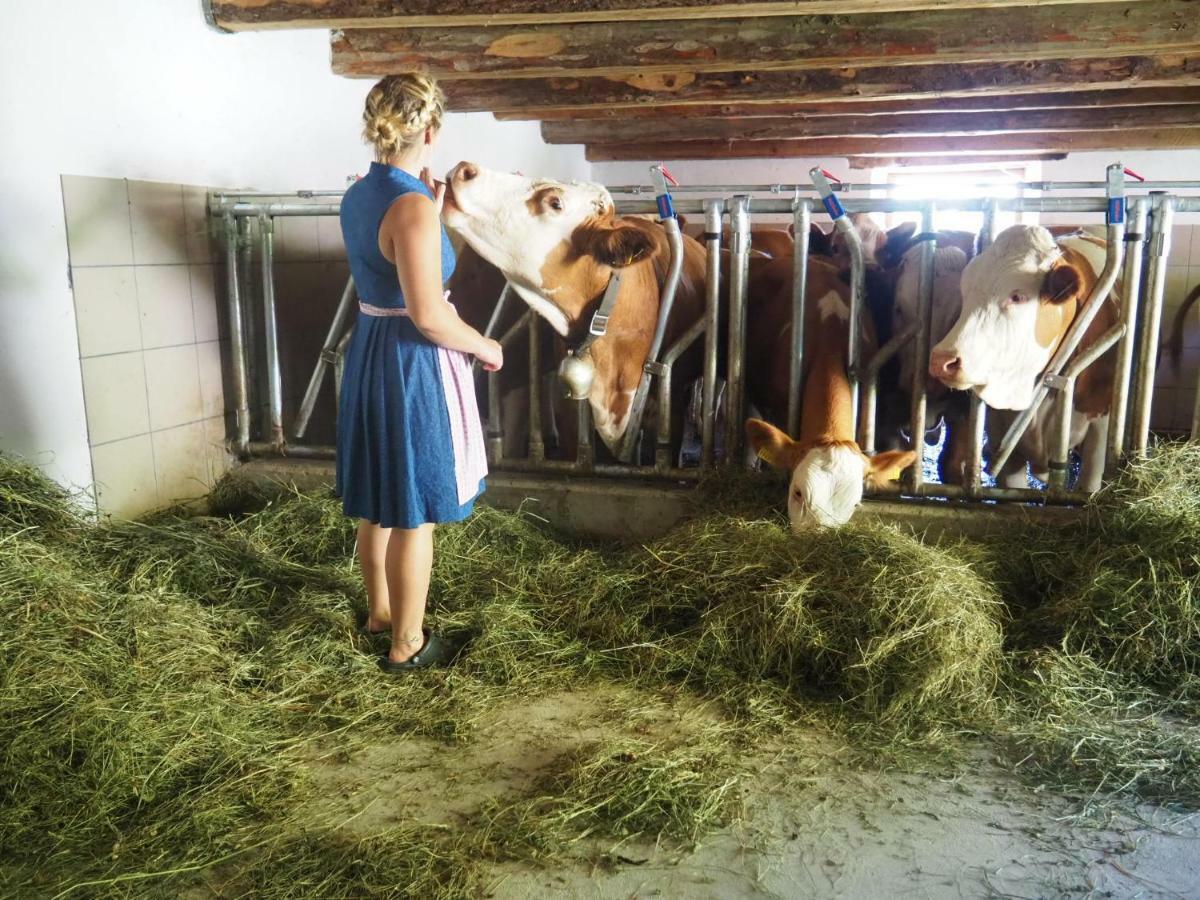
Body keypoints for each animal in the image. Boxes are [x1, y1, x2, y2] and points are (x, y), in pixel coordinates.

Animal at [926, 225, 1113, 494]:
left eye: (1017, 297)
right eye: (965, 290)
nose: (941, 360)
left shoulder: (1099, 427)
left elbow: (1089, 485)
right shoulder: (1002, 438)